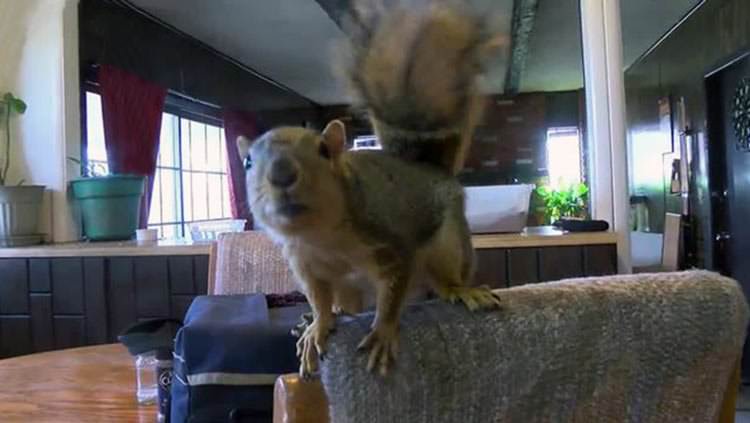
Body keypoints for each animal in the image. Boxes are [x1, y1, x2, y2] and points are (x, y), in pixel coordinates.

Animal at [238, 3, 503, 377]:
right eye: (247, 162)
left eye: (324, 150)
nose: (281, 173)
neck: (323, 235)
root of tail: (429, 168)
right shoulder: (305, 264)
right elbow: (319, 299)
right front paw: (317, 325)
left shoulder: (391, 241)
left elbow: (391, 294)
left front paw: (382, 332)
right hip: (350, 289)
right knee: (348, 306)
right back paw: (321, 318)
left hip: (448, 244)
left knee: (442, 277)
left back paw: (461, 290)